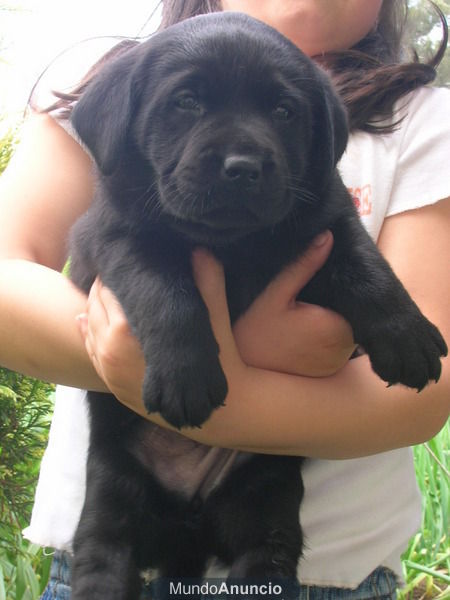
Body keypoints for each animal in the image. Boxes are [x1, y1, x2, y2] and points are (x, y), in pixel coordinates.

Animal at [68, 10, 448, 600]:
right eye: (187, 102)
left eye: (285, 112)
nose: (243, 166)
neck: (233, 244)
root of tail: (189, 521)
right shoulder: (116, 236)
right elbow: (166, 287)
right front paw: (186, 375)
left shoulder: (326, 223)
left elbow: (365, 265)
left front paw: (406, 336)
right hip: (114, 490)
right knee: (103, 553)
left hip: (266, 495)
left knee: (264, 557)